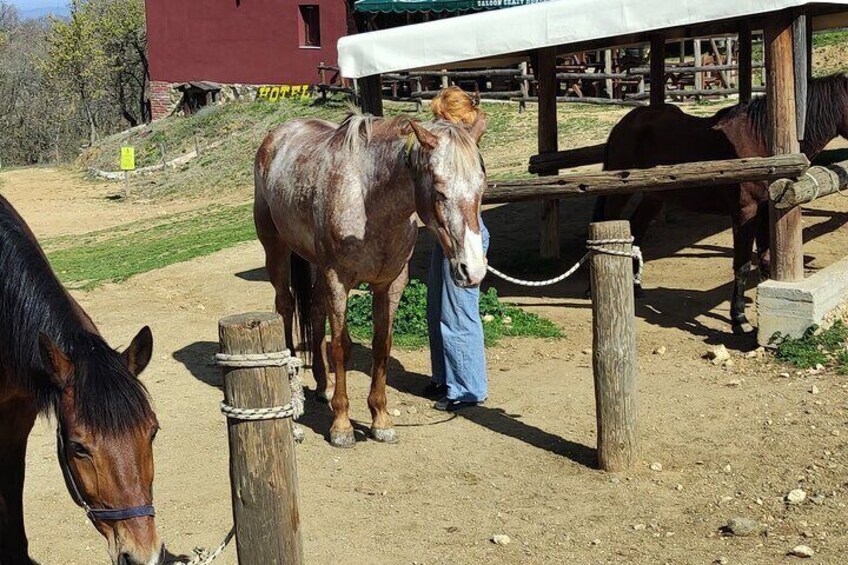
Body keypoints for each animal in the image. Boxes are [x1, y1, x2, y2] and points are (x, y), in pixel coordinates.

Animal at [252, 111, 486, 446]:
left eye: (481, 189)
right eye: (440, 192)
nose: (473, 270)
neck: (368, 201)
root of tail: (277, 134)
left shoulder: (390, 284)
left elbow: (381, 344)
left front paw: (380, 419)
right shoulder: (338, 280)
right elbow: (341, 346)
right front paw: (341, 425)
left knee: (315, 309)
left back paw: (324, 386)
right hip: (277, 250)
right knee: (285, 306)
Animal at [592, 72, 848, 332]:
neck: (761, 142)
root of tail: (625, 124)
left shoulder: (766, 210)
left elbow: (764, 259)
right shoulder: (745, 212)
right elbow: (742, 265)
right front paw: (740, 320)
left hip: (654, 196)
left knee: (638, 228)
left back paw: (636, 287)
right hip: (619, 193)